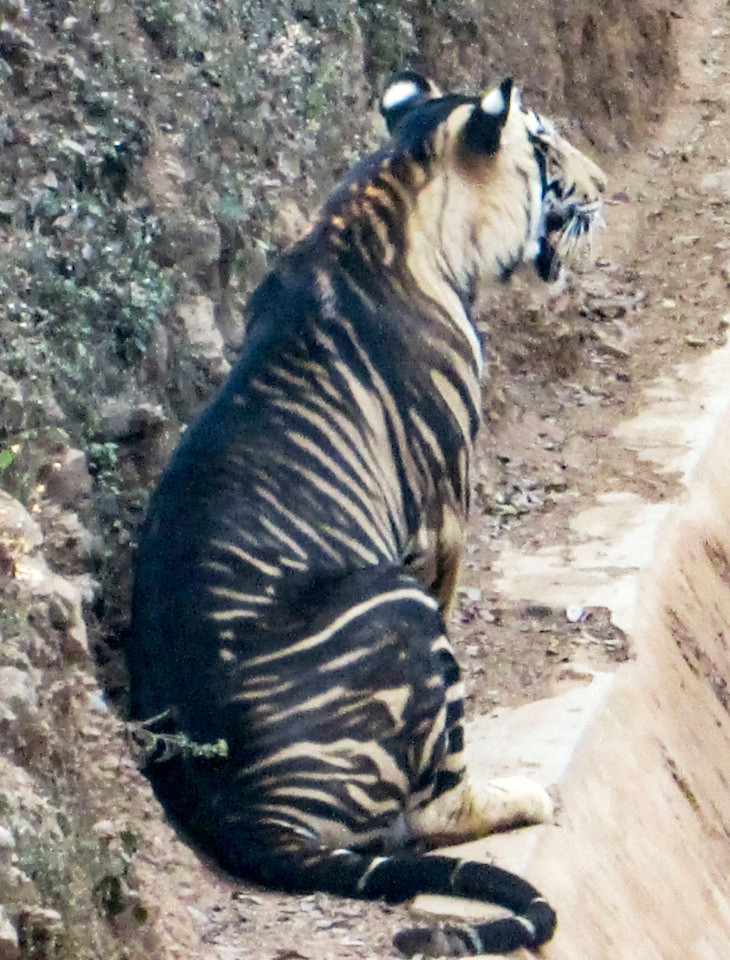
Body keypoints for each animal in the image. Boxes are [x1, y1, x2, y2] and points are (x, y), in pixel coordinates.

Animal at [125, 71, 604, 956]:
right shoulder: (445, 513)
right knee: (432, 810)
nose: (603, 187)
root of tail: (244, 816)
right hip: (394, 605)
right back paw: (522, 795)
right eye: (547, 144)